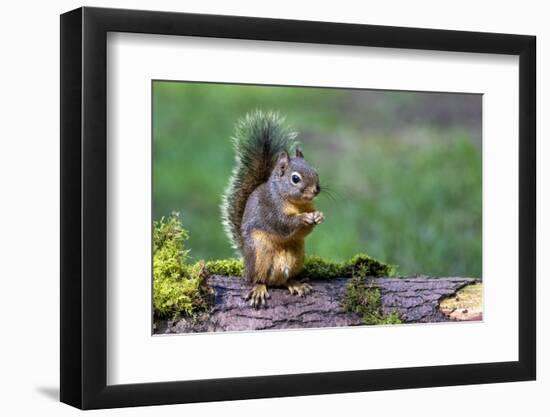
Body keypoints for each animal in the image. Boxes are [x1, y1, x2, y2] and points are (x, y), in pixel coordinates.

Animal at [220, 110, 324, 306]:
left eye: (316, 172)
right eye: (295, 179)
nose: (316, 190)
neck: (295, 203)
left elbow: (304, 231)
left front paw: (318, 216)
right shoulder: (271, 208)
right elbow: (283, 224)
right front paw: (303, 218)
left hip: (296, 257)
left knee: (284, 280)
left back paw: (295, 283)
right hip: (259, 254)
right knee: (258, 278)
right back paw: (259, 288)